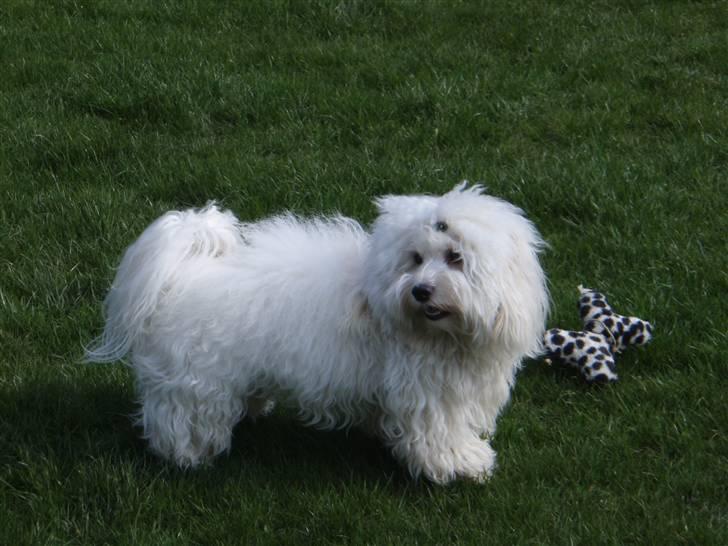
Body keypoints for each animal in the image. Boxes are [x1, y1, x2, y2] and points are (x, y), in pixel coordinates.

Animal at [86, 184, 544, 484]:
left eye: (455, 257)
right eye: (415, 258)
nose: (420, 290)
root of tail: (180, 274)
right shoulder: (429, 393)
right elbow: (439, 432)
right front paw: (462, 464)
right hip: (196, 379)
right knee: (181, 416)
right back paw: (188, 456)